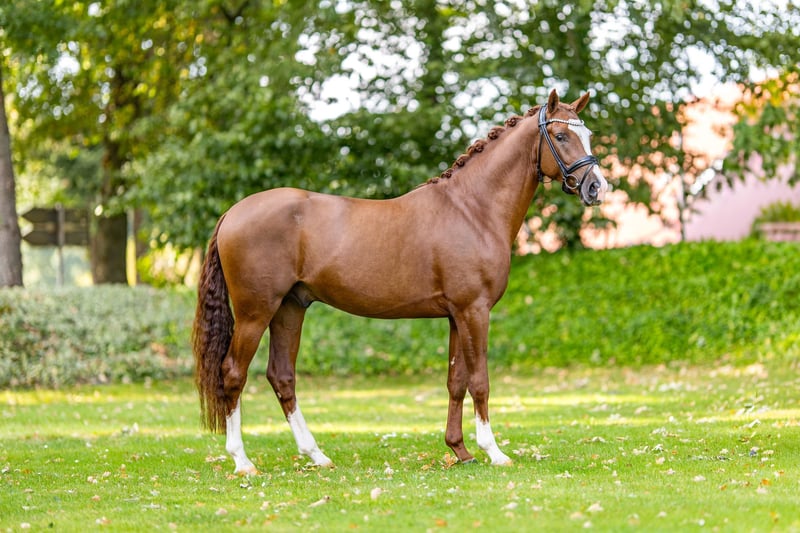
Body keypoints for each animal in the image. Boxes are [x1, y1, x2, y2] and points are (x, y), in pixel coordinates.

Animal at [192, 89, 609, 475]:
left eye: (587, 133)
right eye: (560, 135)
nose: (597, 187)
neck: (472, 209)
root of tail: (233, 212)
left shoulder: (456, 315)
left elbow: (456, 381)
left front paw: (460, 450)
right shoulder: (474, 311)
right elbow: (480, 381)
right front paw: (494, 451)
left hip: (289, 309)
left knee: (282, 377)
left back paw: (317, 455)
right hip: (255, 312)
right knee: (233, 374)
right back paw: (242, 461)